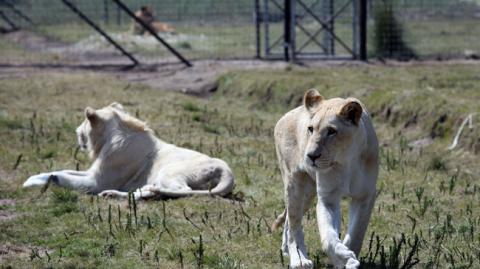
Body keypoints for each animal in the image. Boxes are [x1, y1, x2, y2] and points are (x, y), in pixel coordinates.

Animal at [23, 102, 235, 199]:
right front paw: (35, 176)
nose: (76, 132)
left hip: (168, 171)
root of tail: (227, 170)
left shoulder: (95, 182)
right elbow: (62, 170)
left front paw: (31, 182)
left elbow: (61, 176)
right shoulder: (93, 173)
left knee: (182, 191)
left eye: (84, 122)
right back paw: (115, 194)